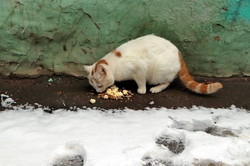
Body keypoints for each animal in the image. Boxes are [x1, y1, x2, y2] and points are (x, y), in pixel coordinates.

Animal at [84, 34, 223, 94]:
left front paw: (141, 90)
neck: (114, 64)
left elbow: (141, 81)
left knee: (167, 82)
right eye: (93, 85)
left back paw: (156, 88)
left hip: (158, 70)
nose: (97, 91)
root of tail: (178, 52)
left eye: (99, 85)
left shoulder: (140, 69)